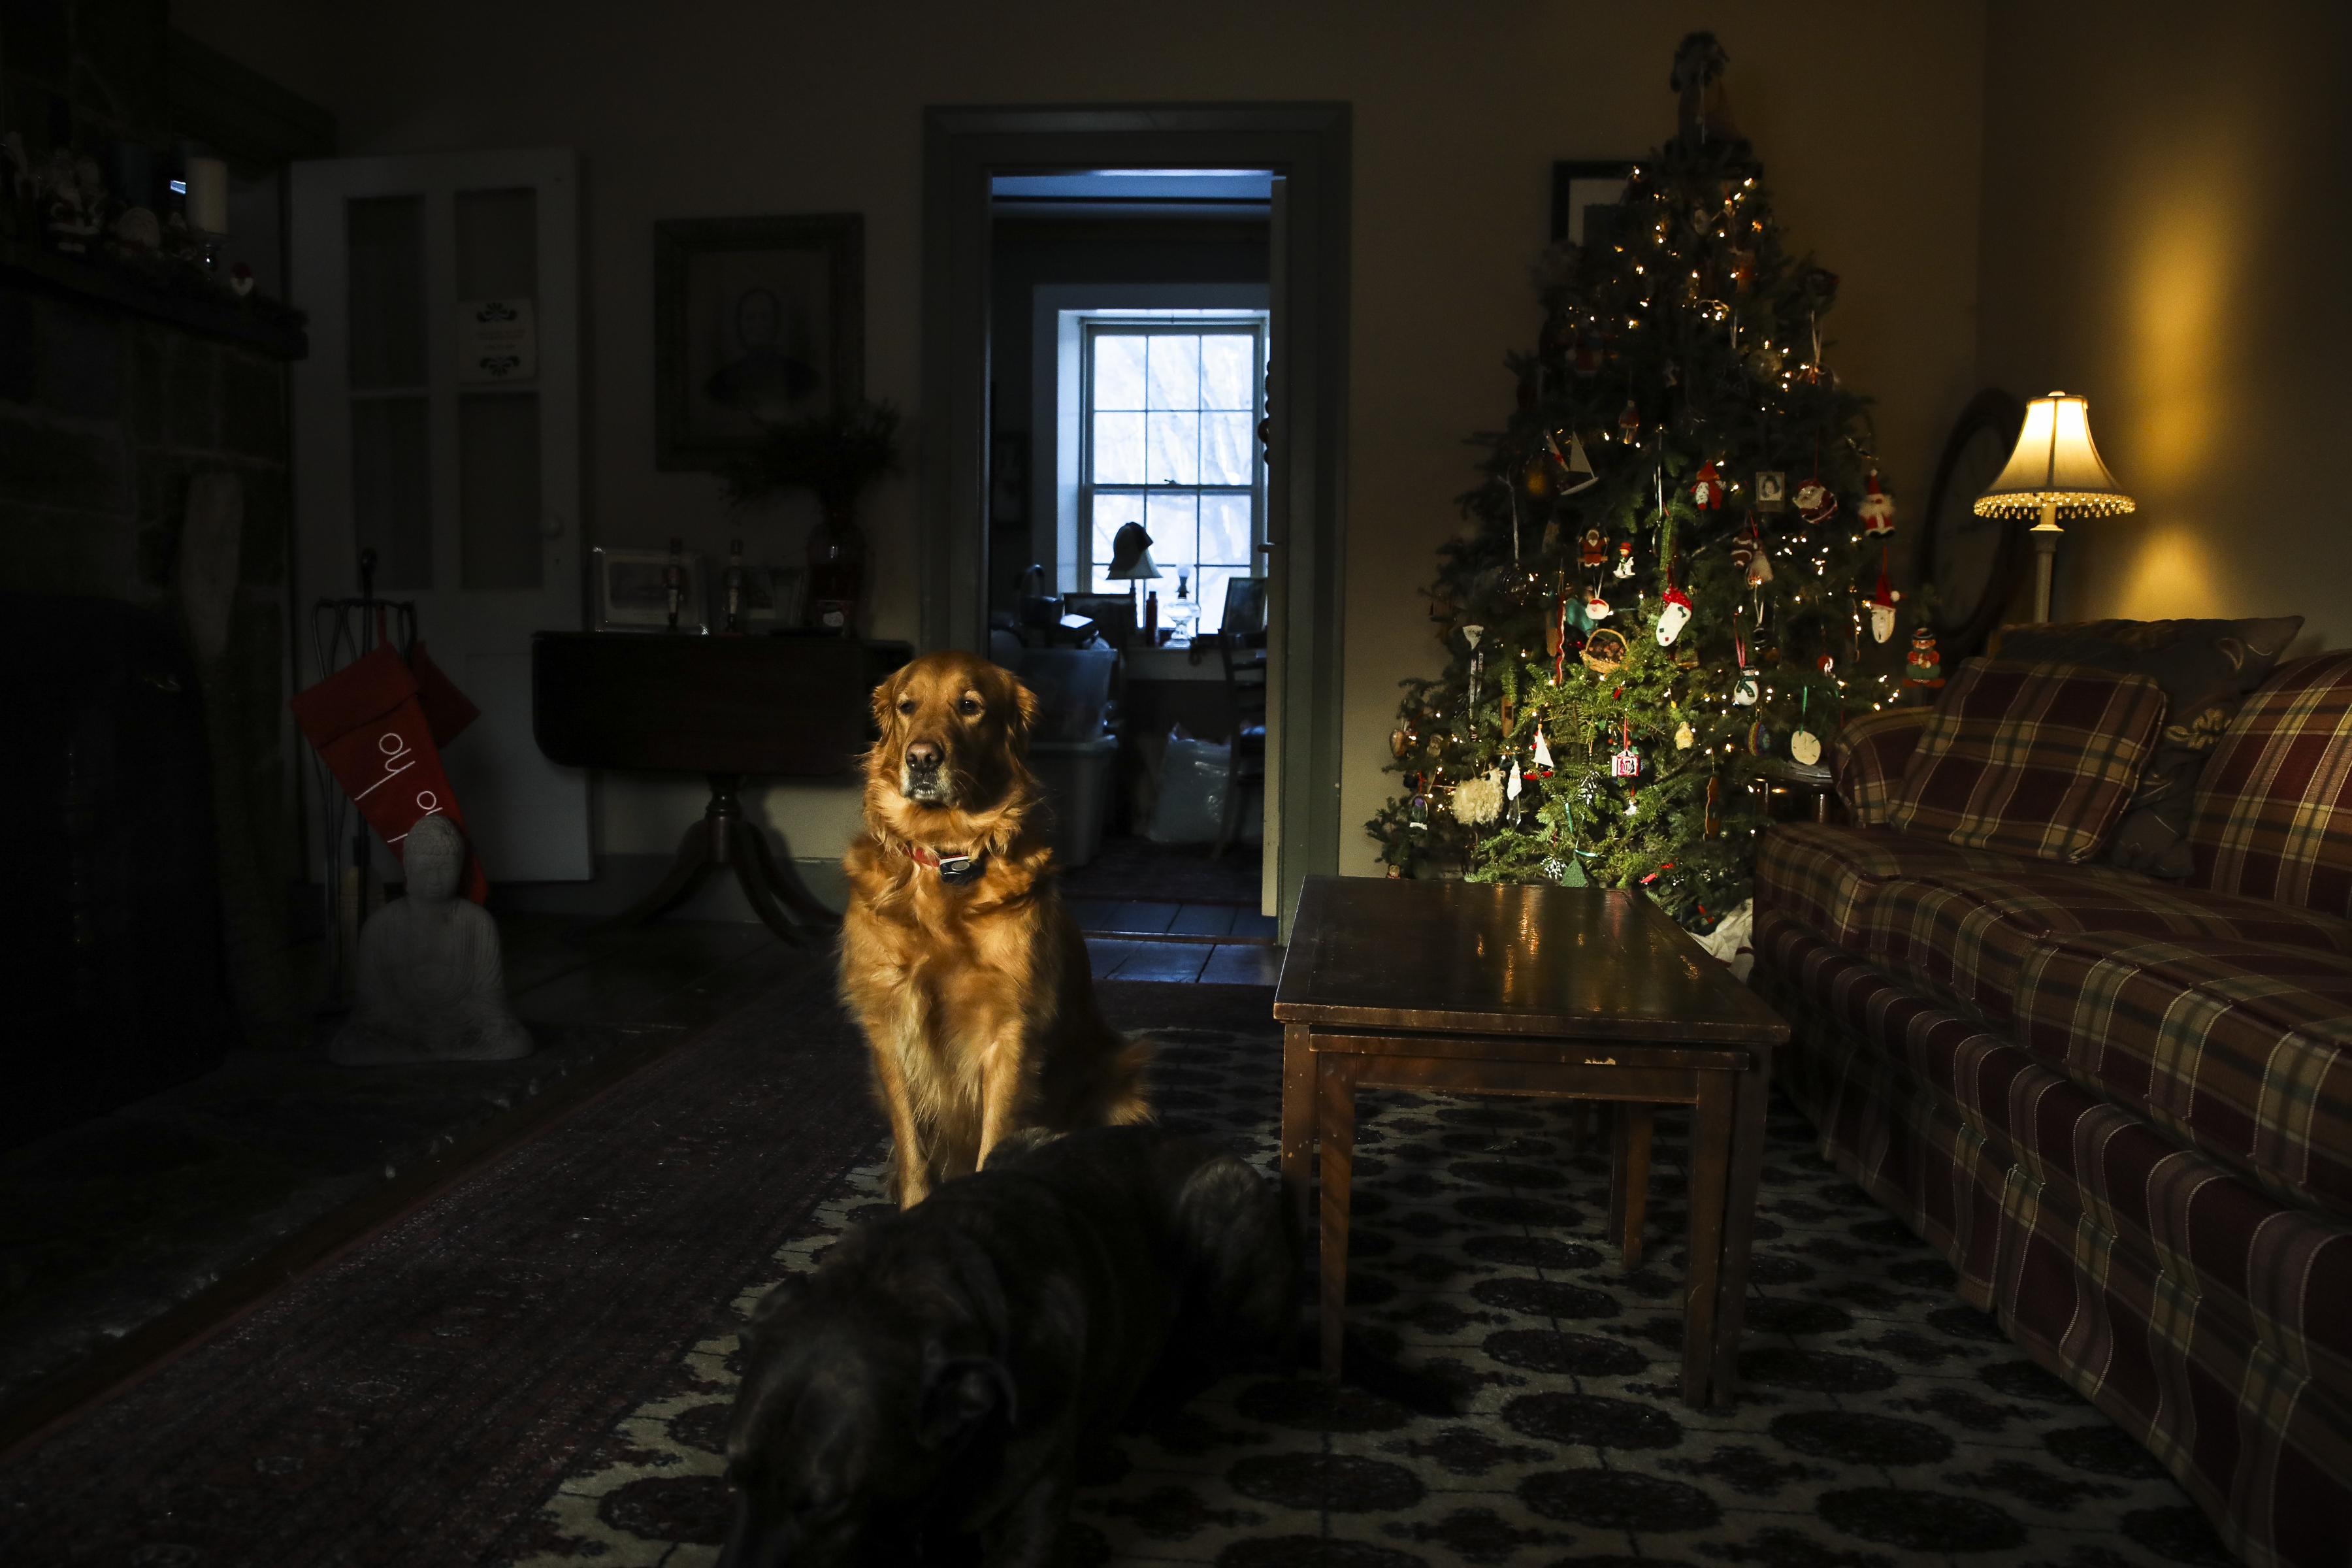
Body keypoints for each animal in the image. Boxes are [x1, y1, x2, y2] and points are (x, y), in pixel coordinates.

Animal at [715, 1128, 1307, 1568]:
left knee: (1220, 1347)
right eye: (732, 1477)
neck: (900, 1281)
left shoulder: (1029, 1517)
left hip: (1225, 1201)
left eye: (825, 1504)